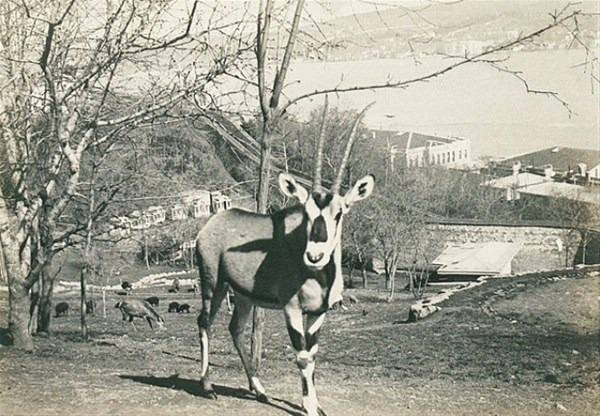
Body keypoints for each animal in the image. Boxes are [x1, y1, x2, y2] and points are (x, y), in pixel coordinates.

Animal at [197, 102, 376, 414]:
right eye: (306, 213)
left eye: (339, 213)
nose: (314, 256)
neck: (320, 275)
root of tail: (211, 223)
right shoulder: (291, 308)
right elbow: (302, 356)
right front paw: (309, 408)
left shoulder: (318, 312)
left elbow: (313, 354)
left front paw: (315, 404)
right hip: (213, 285)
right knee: (205, 322)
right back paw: (207, 387)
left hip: (243, 296)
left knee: (235, 329)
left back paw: (259, 391)